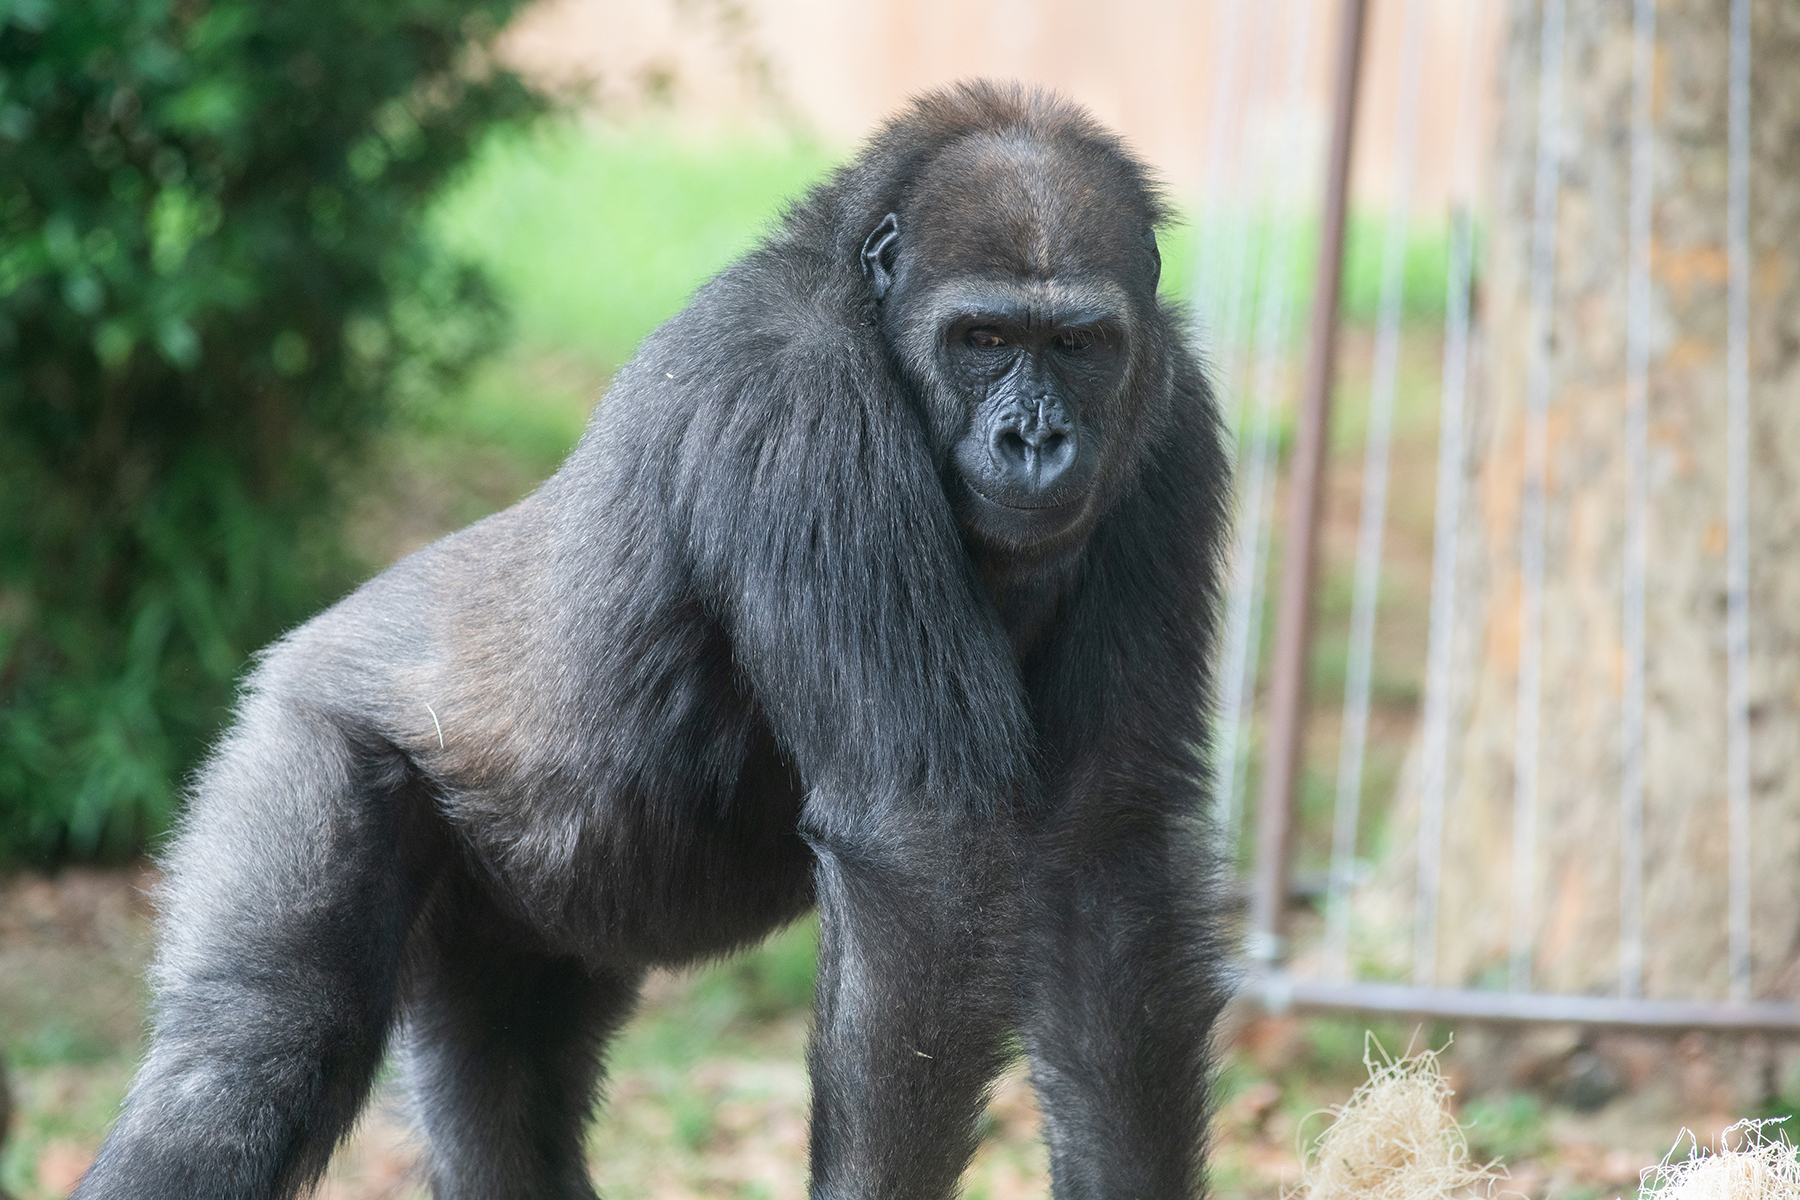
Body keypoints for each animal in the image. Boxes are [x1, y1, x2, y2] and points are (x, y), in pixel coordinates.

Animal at [81, 82, 1238, 1200]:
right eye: (984, 340)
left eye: (1078, 345)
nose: (1035, 439)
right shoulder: (796, 395)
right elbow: (924, 849)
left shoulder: (1173, 420)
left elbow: (1108, 848)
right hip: (304, 733)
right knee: (249, 1053)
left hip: (518, 915)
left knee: (499, 1101)